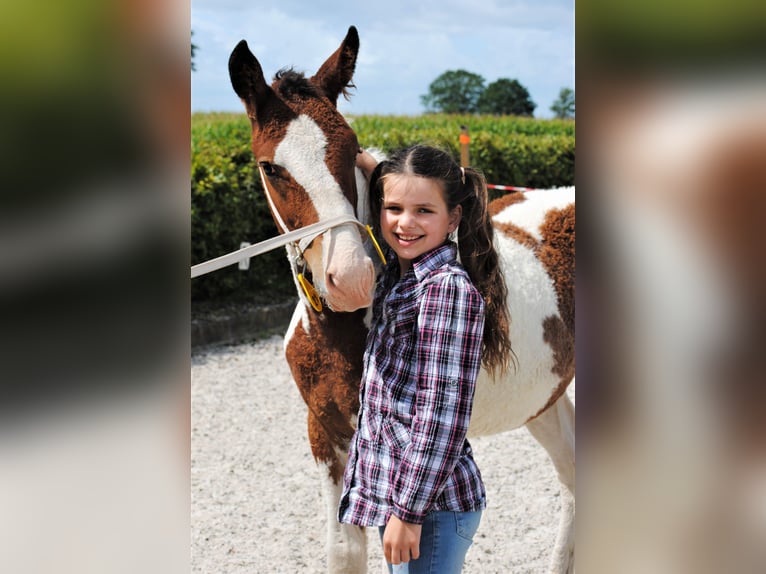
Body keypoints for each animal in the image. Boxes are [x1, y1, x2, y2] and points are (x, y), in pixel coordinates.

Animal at [228, 26, 575, 574]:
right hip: (546, 397)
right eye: (270, 167)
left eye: (350, 149)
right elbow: (344, 551)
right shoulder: (325, 434)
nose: (350, 278)